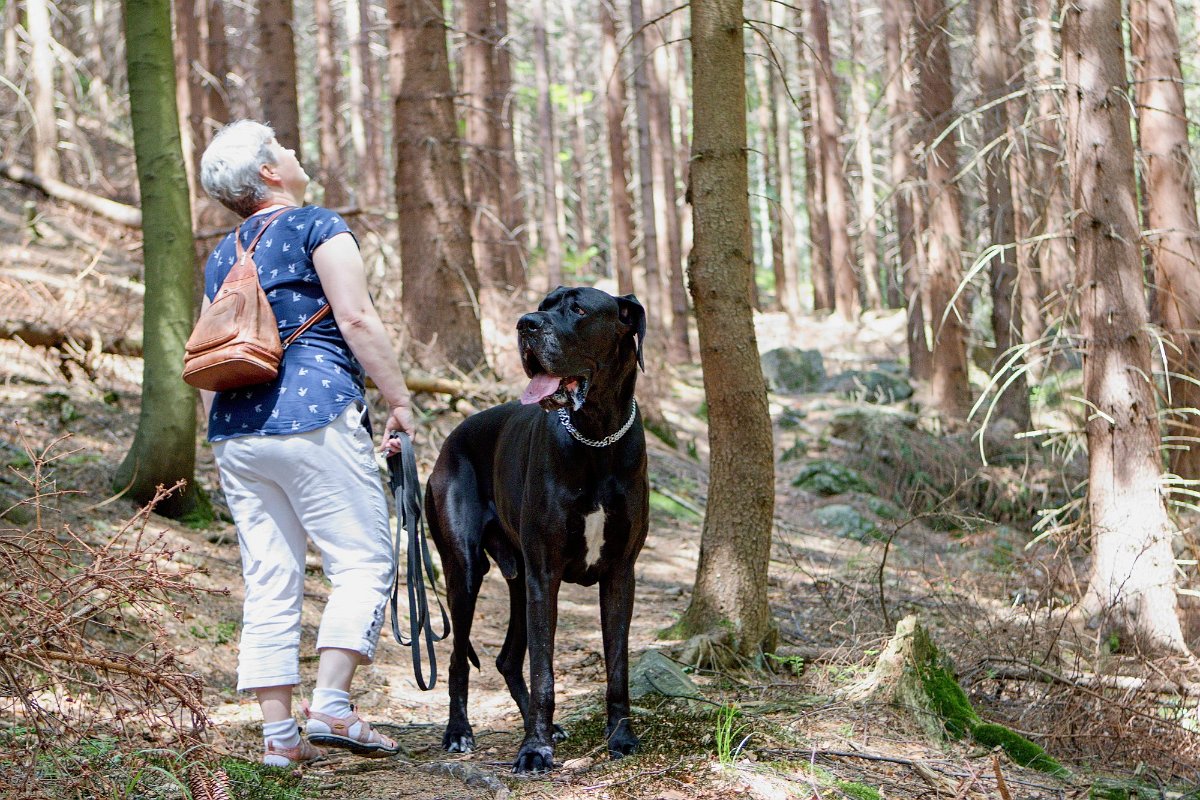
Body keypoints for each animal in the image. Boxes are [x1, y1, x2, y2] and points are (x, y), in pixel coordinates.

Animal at [422, 284, 648, 772]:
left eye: (578, 309)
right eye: (543, 306)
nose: (525, 324)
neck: (596, 437)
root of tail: (449, 439)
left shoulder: (620, 574)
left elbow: (618, 668)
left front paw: (621, 737)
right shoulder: (546, 574)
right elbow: (543, 670)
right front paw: (534, 750)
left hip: (519, 577)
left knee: (508, 659)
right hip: (466, 569)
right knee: (458, 659)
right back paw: (459, 732)